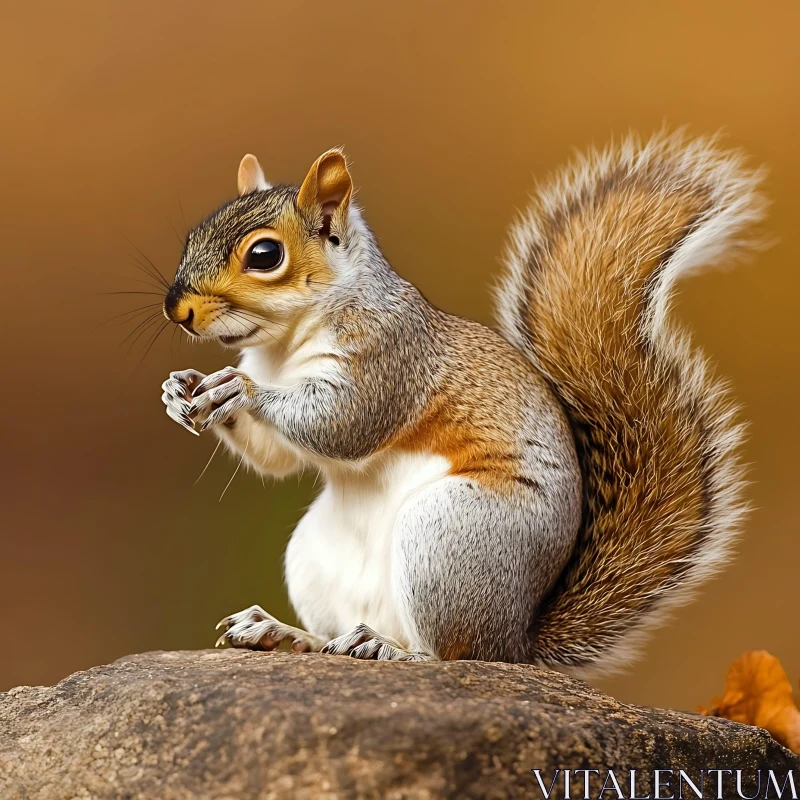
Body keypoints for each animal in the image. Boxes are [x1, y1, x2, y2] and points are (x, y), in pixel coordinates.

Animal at [160, 131, 764, 676]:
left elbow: (344, 424)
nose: (176, 310)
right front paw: (180, 390)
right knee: (333, 635)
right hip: (315, 555)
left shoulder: (391, 358)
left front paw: (239, 390)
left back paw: (391, 649)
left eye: (265, 255)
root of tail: (518, 640)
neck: (282, 347)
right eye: (193, 235)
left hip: (450, 536)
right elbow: (277, 459)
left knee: (456, 650)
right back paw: (283, 632)